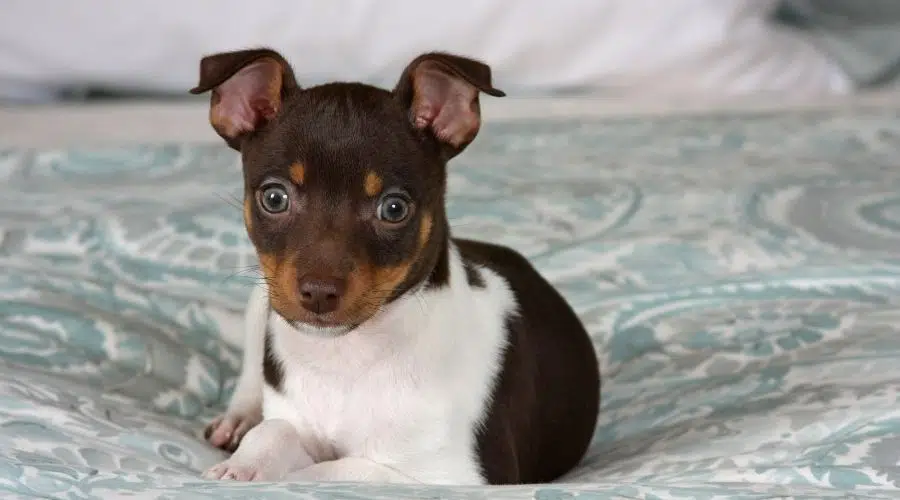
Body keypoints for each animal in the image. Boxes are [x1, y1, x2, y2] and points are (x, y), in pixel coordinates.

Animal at [192, 47, 596, 484]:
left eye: (394, 209)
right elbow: (275, 430)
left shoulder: (462, 476)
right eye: (274, 198)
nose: (318, 292)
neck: (345, 359)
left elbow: (335, 469)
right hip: (260, 300)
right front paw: (244, 464)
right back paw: (238, 419)